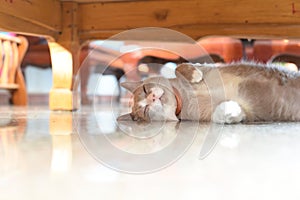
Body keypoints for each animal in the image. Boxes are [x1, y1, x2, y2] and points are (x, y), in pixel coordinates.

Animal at [117, 62, 300, 123]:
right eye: (145, 110)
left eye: (145, 89)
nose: (152, 97)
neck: (184, 97)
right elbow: (220, 115)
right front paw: (230, 111)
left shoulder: (209, 66)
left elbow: (179, 67)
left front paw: (194, 75)